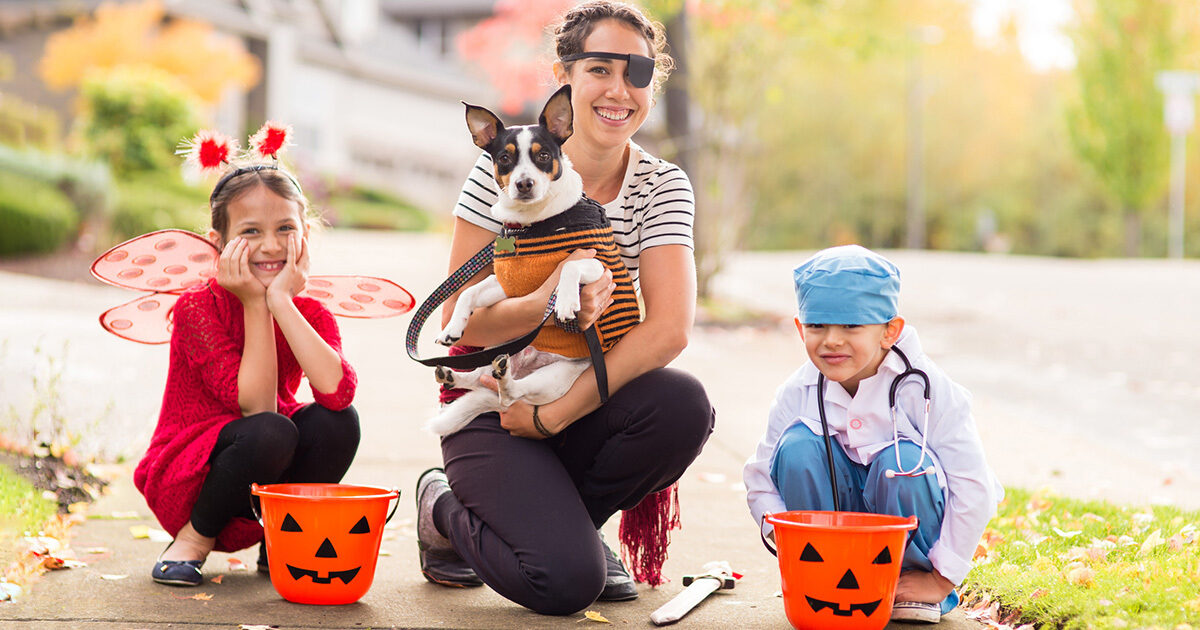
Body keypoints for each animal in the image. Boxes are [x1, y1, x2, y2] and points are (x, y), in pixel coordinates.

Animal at [429, 85, 643, 434]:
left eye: (543, 156)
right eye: (504, 158)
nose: (524, 183)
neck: (535, 223)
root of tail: (524, 364)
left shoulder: (598, 265)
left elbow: (569, 265)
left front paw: (566, 302)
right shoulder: (507, 286)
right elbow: (468, 293)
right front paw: (453, 327)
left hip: (554, 379)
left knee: (509, 394)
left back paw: (501, 380)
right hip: (498, 347)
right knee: (484, 380)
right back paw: (453, 374)